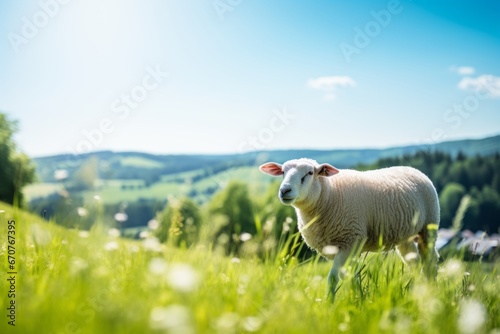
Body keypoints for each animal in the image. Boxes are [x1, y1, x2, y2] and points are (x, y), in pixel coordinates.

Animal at [260, 158, 440, 298]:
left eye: (310, 173)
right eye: (283, 172)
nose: (285, 190)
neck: (330, 196)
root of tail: (412, 169)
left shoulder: (349, 241)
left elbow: (334, 277)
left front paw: (331, 304)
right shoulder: (341, 247)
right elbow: (352, 276)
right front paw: (357, 299)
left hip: (428, 228)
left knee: (430, 261)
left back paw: (431, 290)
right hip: (405, 238)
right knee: (414, 262)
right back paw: (418, 289)